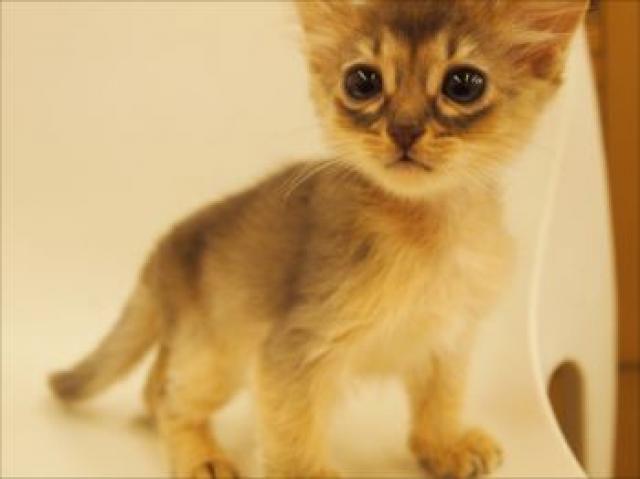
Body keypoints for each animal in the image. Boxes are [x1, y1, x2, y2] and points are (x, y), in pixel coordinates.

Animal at [49, 1, 587, 478]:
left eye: (463, 84)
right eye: (363, 81)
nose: (404, 129)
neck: (426, 234)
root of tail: (163, 250)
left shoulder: (447, 339)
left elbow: (441, 400)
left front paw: (446, 447)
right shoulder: (294, 346)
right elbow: (293, 428)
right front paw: (307, 473)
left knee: (156, 382)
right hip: (218, 349)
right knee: (171, 398)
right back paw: (202, 457)